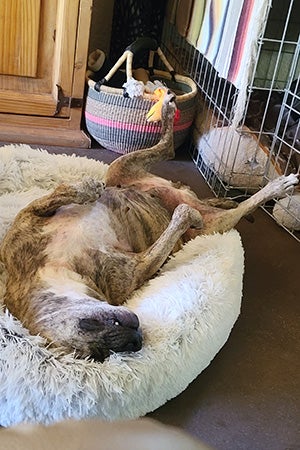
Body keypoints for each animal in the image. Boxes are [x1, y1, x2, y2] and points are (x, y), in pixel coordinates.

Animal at [0, 91, 298, 362]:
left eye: (88, 327)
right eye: (98, 356)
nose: (136, 341)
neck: (52, 269)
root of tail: (184, 191)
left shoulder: (25, 224)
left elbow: (61, 193)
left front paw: (86, 189)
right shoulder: (137, 268)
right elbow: (171, 231)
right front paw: (183, 217)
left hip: (118, 168)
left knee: (167, 150)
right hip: (213, 225)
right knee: (232, 206)